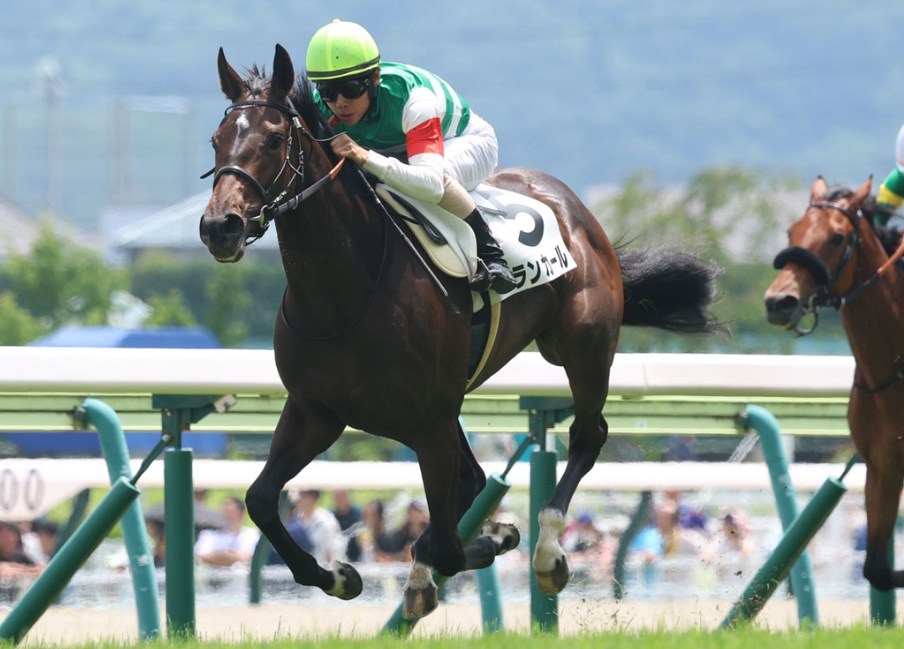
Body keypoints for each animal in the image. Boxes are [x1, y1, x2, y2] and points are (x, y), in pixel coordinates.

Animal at [200, 44, 722, 619]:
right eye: (216, 140)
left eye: (273, 139)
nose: (220, 226)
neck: (343, 295)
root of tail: (572, 205)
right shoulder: (317, 411)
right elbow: (260, 500)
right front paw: (338, 575)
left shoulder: (428, 421)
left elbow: (448, 545)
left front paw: (491, 540)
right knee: (476, 478)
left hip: (583, 347)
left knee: (588, 436)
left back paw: (547, 549)